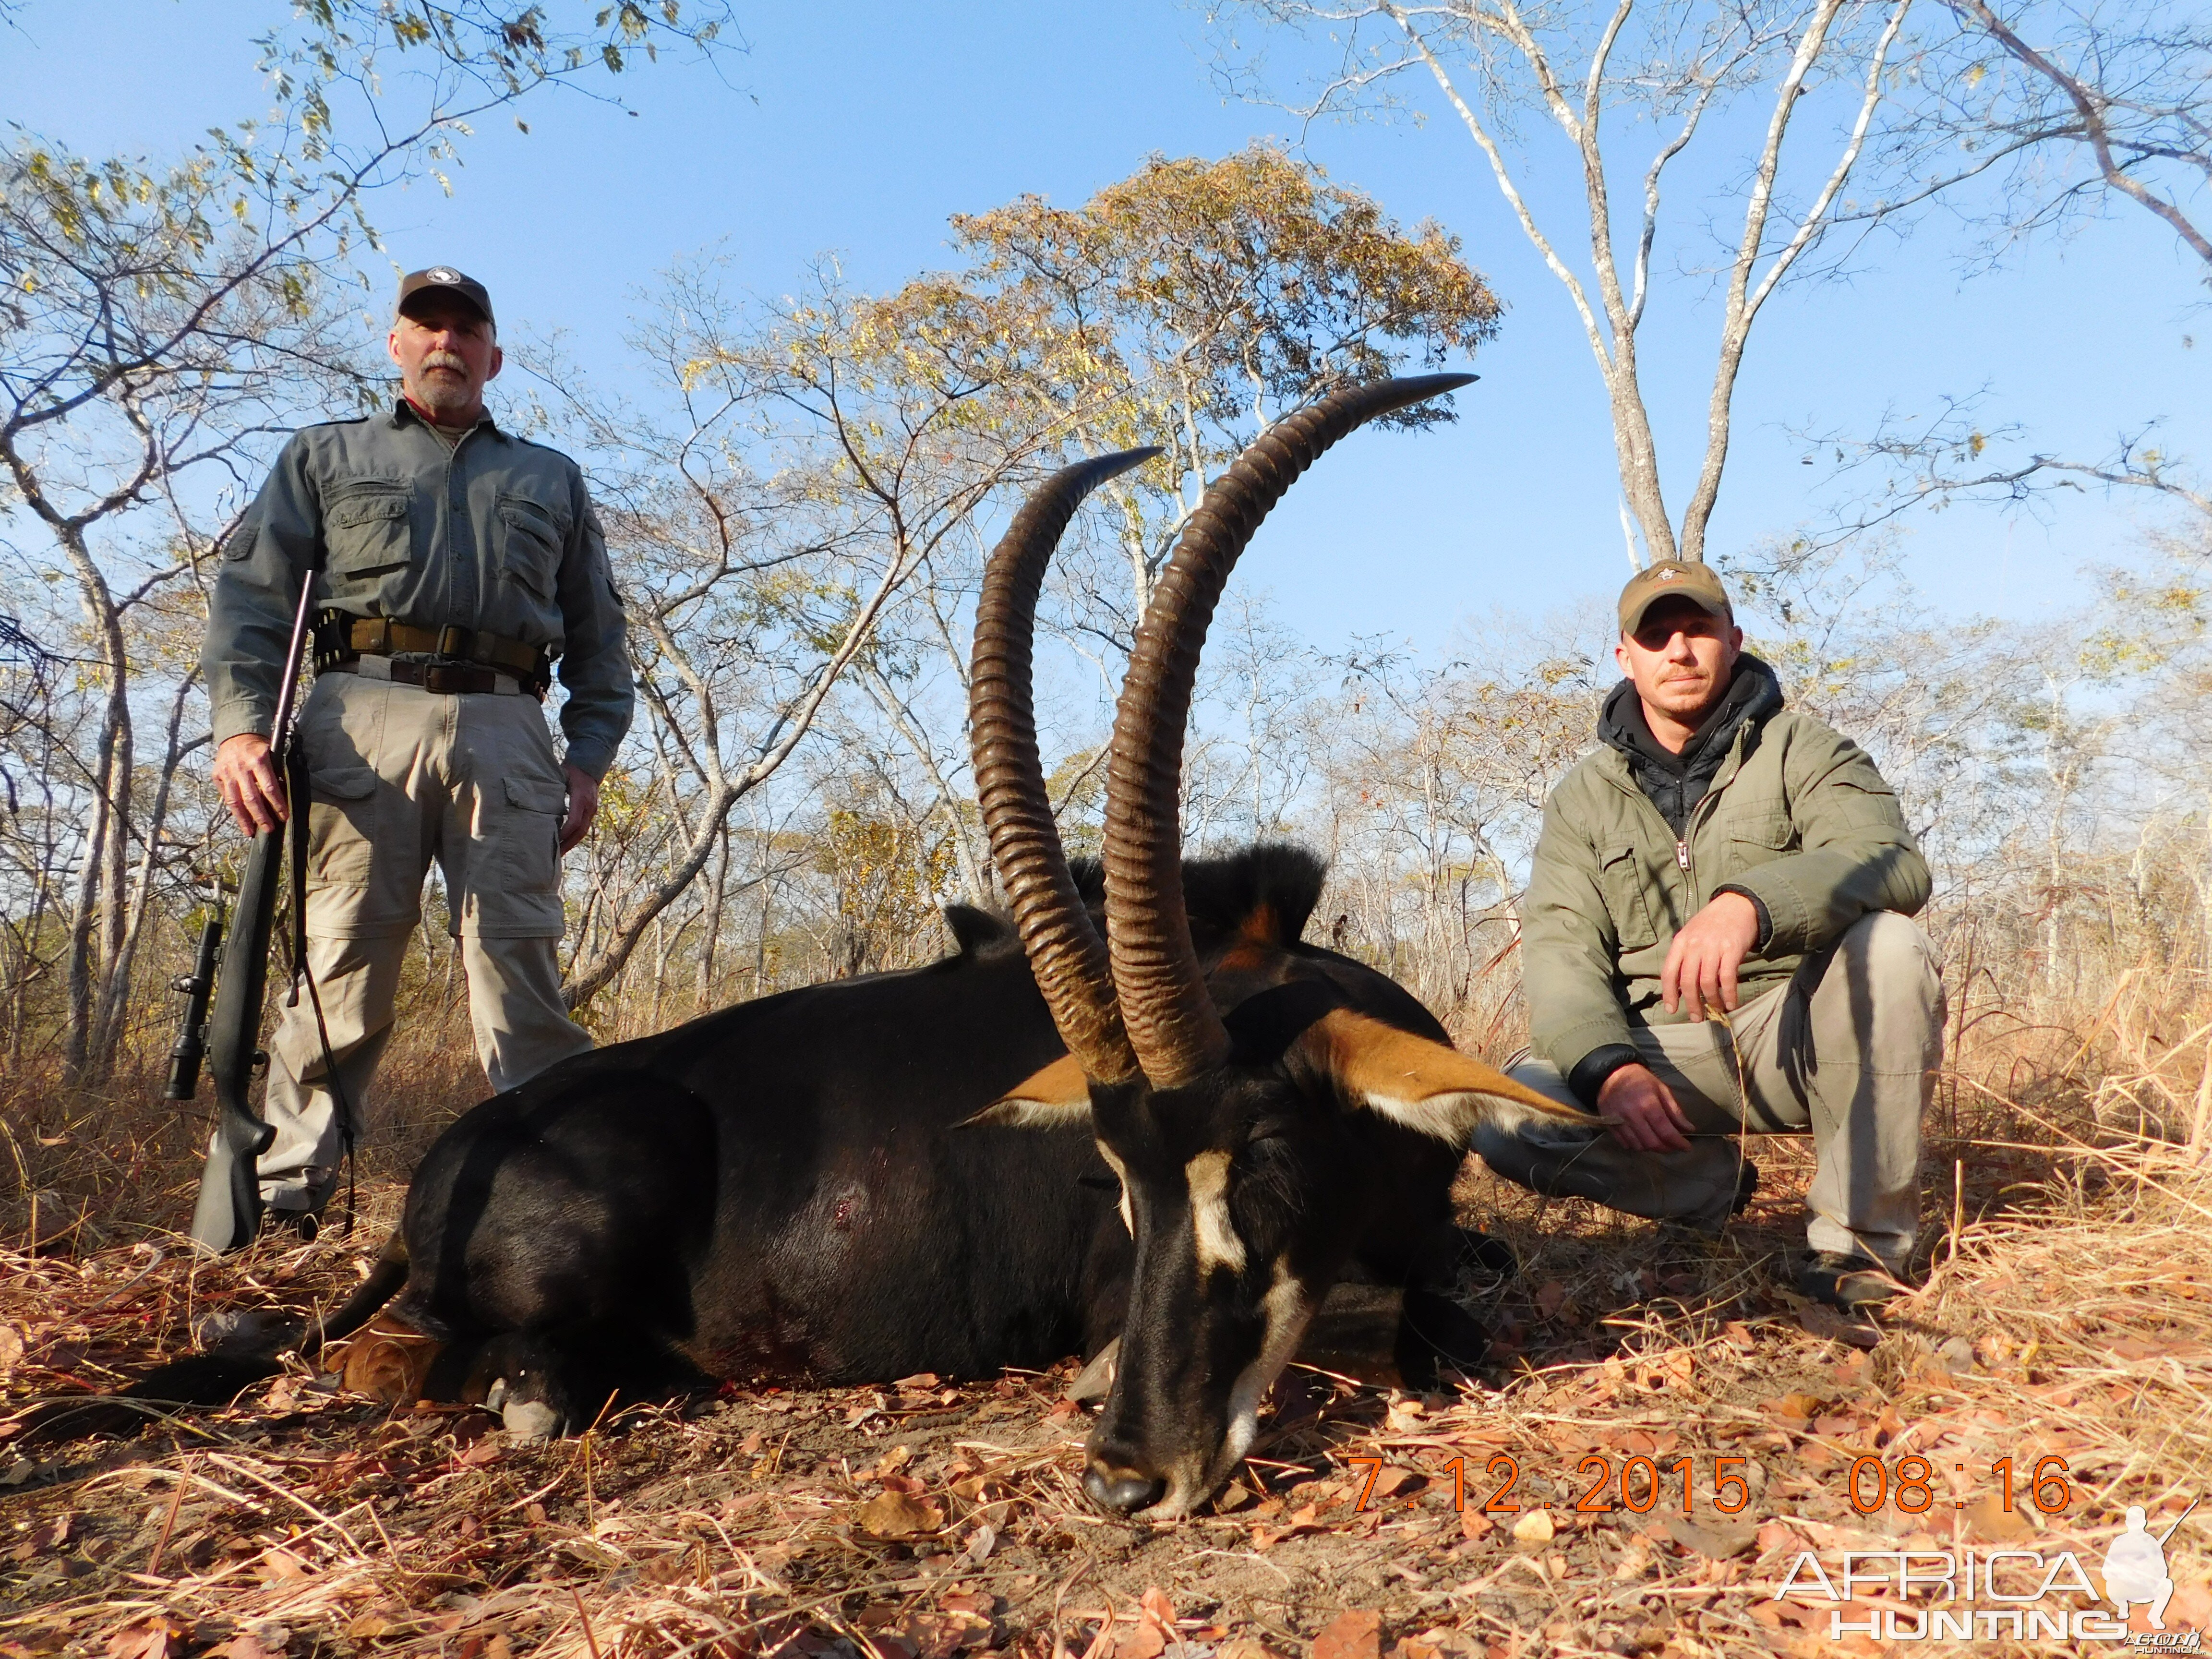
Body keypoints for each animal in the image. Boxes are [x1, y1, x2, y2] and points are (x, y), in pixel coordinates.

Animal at [69, 376, 1592, 1522]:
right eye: (1117, 1182)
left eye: (1260, 1160)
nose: (1125, 1478)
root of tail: (460, 1152)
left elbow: (1459, 1291)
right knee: (441, 1366)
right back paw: (552, 1389)